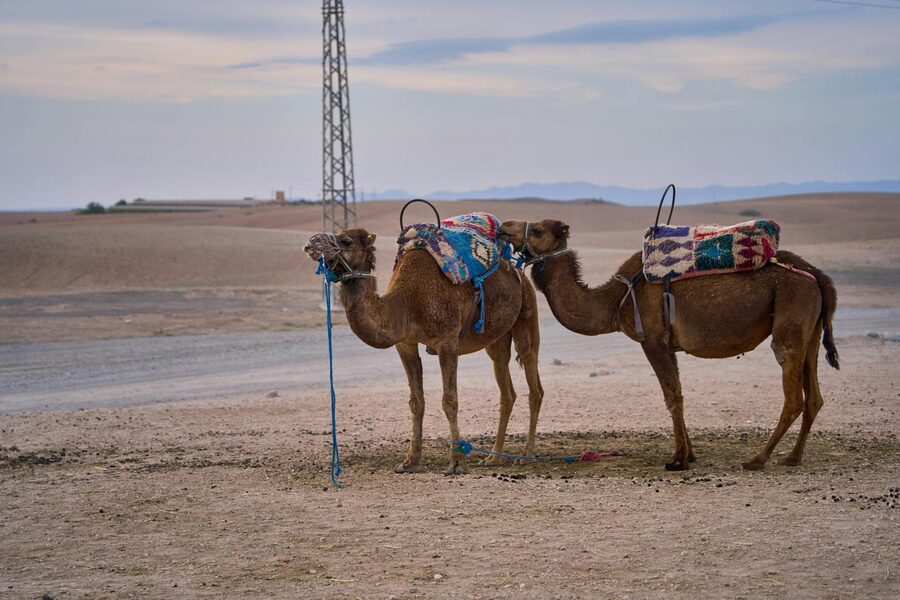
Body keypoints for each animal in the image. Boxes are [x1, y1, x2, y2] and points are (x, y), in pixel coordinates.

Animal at [305, 228, 544, 475]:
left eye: (346, 241)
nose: (312, 243)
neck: (408, 302)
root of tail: (517, 271)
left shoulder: (447, 342)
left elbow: (450, 401)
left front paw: (456, 462)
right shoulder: (405, 344)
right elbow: (416, 402)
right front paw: (410, 461)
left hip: (528, 311)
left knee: (533, 382)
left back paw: (526, 455)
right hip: (496, 338)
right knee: (506, 386)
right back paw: (494, 457)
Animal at [499, 219, 839, 471]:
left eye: (538, 229)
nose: (504, 226)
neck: (615, 300)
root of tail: (818, 276)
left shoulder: (653, 341)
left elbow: (671, 396)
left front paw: (677, 460)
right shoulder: (669, 345)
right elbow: (679, 393)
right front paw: (690, 454)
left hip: (790, 322)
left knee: (793, 395)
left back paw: (757, 459)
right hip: (810, 332)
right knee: (814, 396)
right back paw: (792, 457)